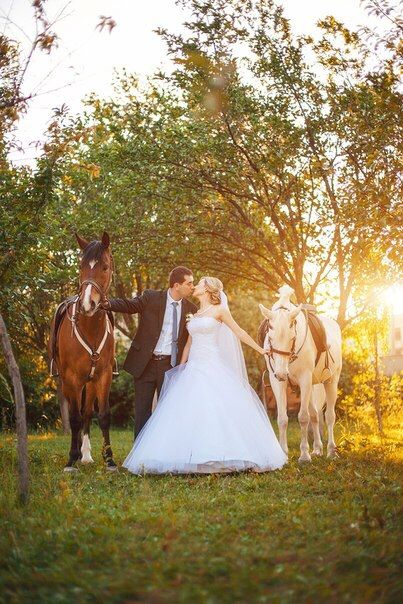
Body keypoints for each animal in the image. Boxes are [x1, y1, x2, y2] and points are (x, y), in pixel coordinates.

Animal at [49, 231, 117, 472]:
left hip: (90, 381)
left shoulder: (104, 375)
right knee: (75, 412)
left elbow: (103, 415)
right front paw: (71, 459)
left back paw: (85, 454)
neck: (90, 326)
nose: (88, 304)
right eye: (80, 266)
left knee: (86, 412)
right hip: (70, 381)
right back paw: (78, 453)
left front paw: (110, 460)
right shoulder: (71, 378)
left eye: (105, 267)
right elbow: (74, 417)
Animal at [258, 285, 342, 463]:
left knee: (329, 416)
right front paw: (283, 453)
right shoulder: (277, 382)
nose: (282, 373)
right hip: (311, 386)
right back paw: (317, 449)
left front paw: (304, 455)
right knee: (315, 415)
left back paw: (331, 451)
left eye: (292, 338)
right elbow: (283, 419)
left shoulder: (304, 379)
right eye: (270, 337)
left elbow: (303, 417)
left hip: (331, 381)